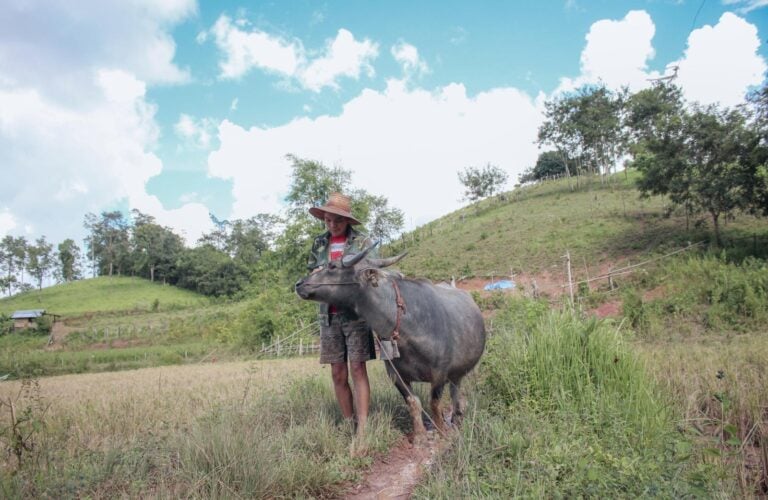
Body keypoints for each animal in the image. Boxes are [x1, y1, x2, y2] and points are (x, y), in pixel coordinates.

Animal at [296, 245, 486, 438]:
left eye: (333, 266)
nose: (299, 284)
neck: (407, 330)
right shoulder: (395, 375)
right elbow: (413, 402)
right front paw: (419, 435)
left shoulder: (439, 373)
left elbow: (434, 403)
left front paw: (440, 430)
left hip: (459, 370)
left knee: (455, 392)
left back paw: (456, 417)